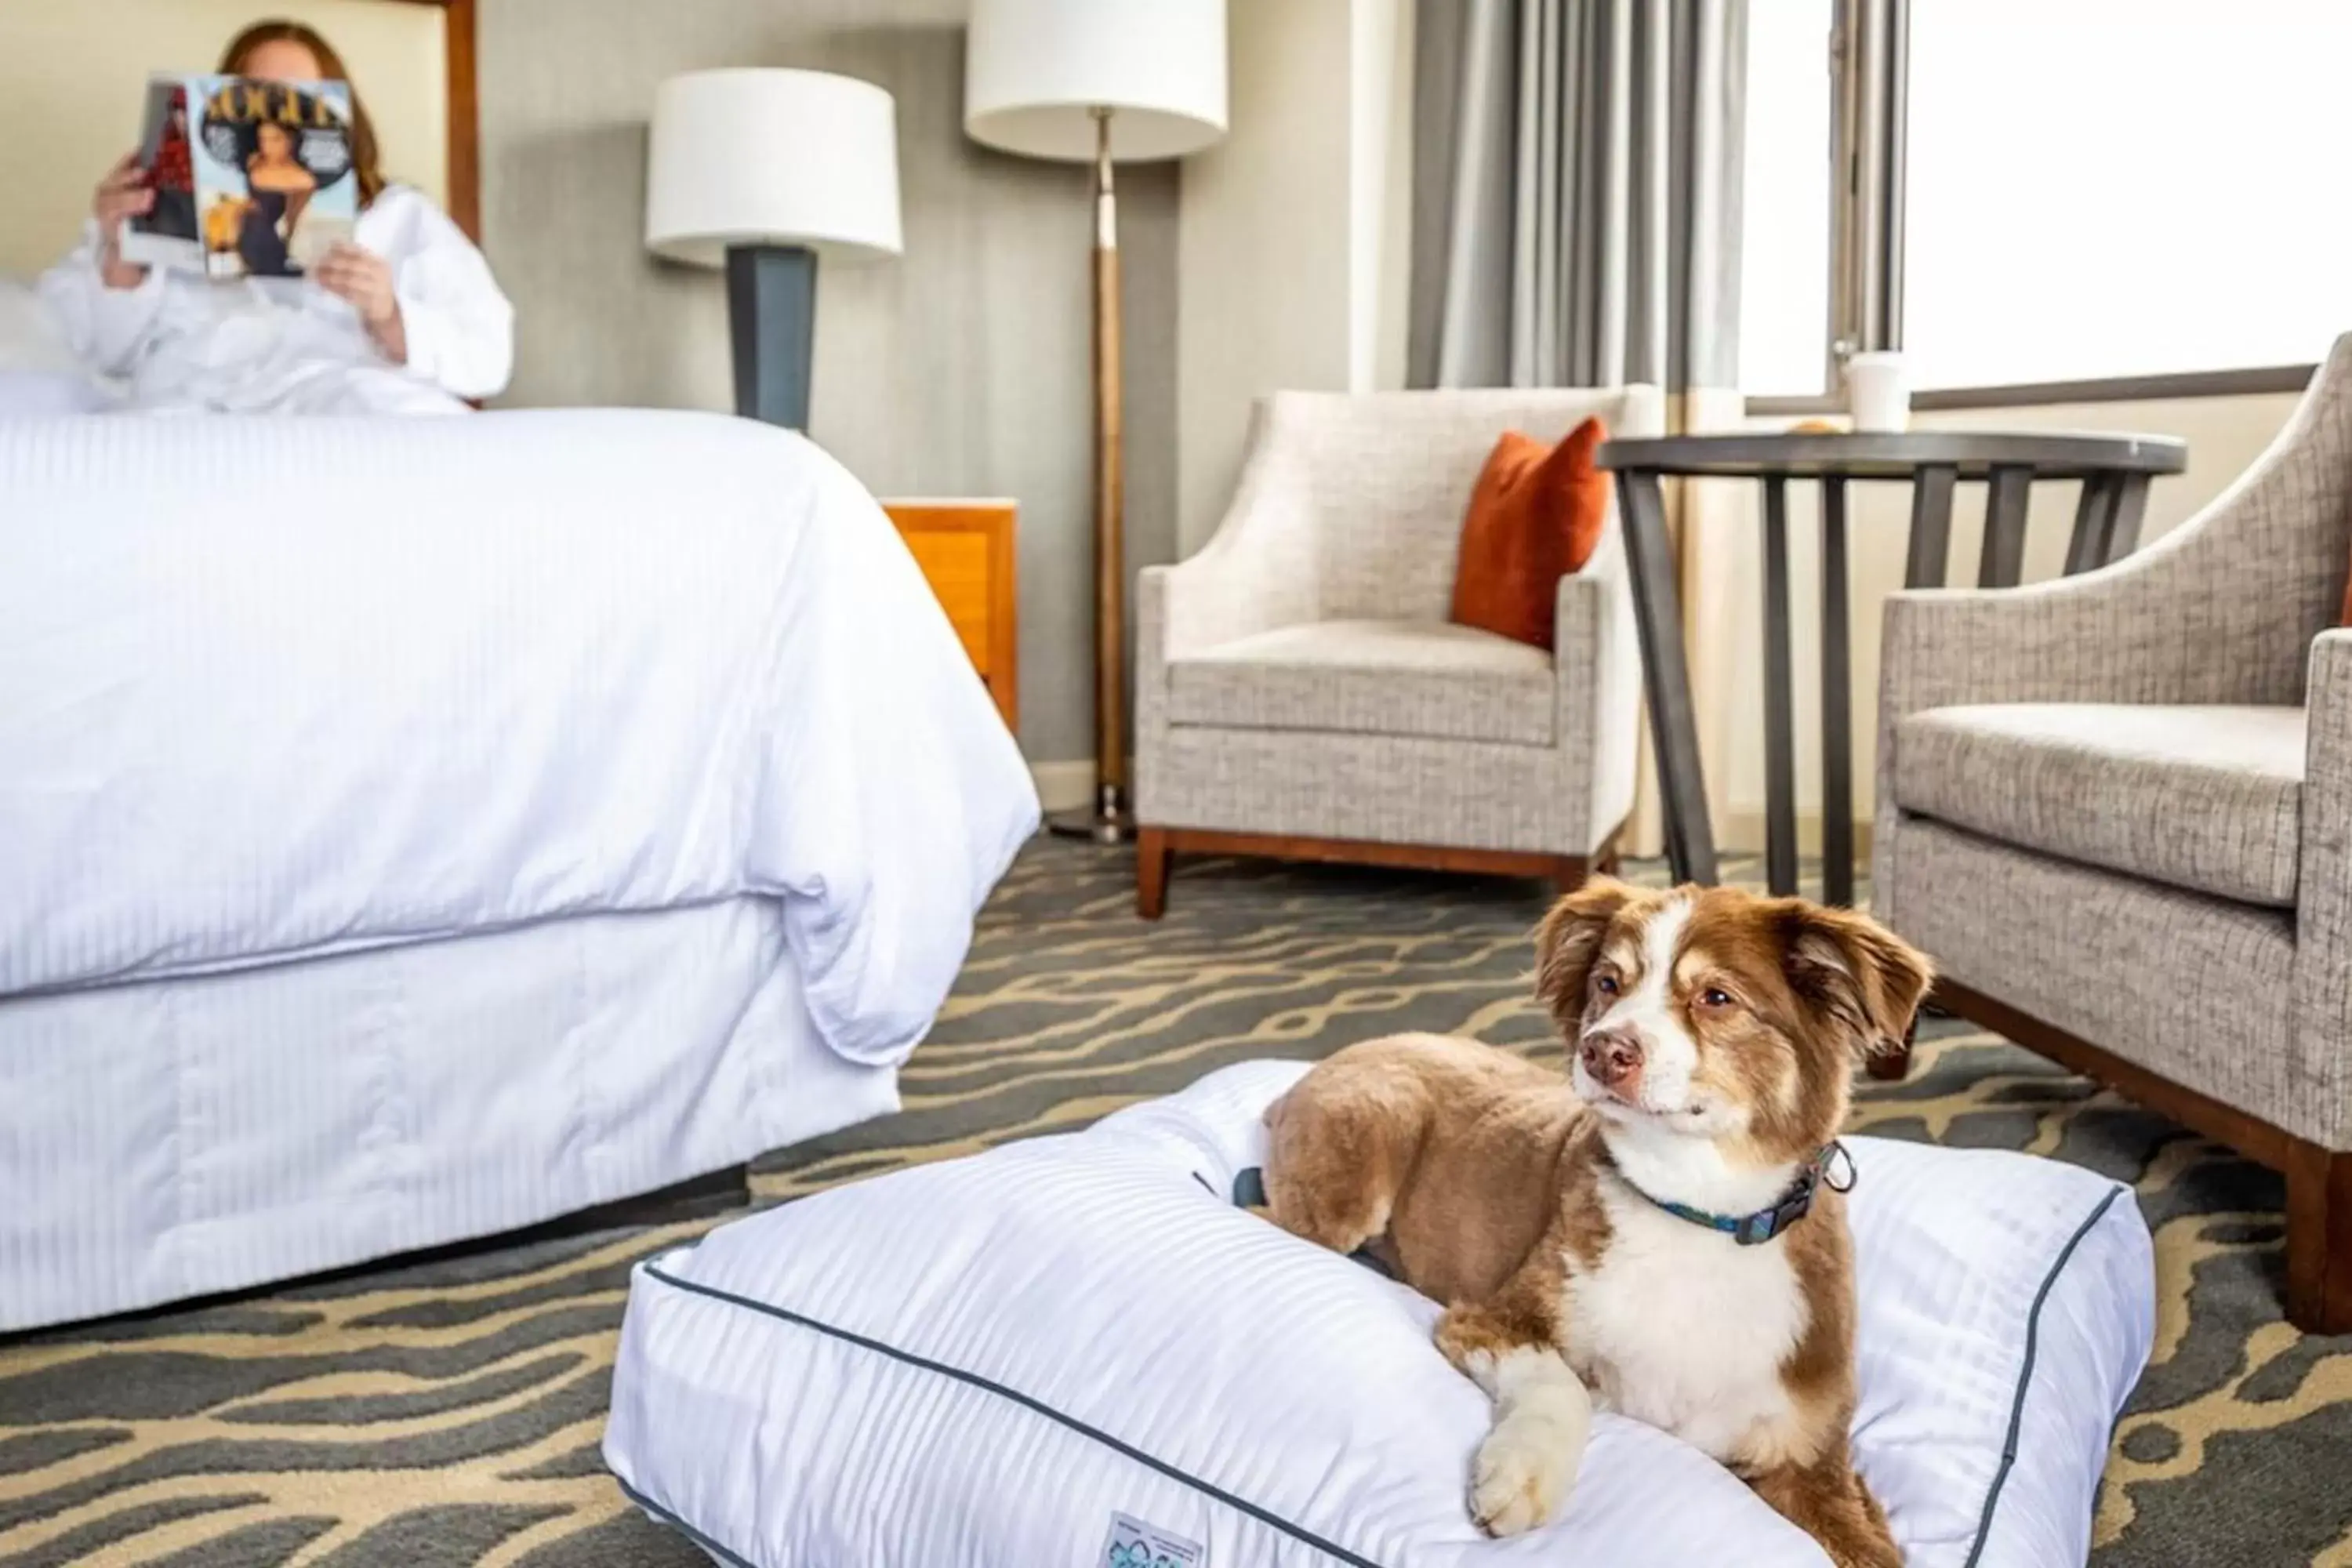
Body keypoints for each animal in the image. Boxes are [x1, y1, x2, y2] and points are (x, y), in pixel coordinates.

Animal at [1270, 879, 1929, 1561]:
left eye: (1716, 997)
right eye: (1609, 983)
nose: (1604, 1050)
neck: (1697, 1216)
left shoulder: (1815, 1463)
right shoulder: (1490, 1319)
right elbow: (1559, 1380)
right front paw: (1522, 1473)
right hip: (1357, 1168)